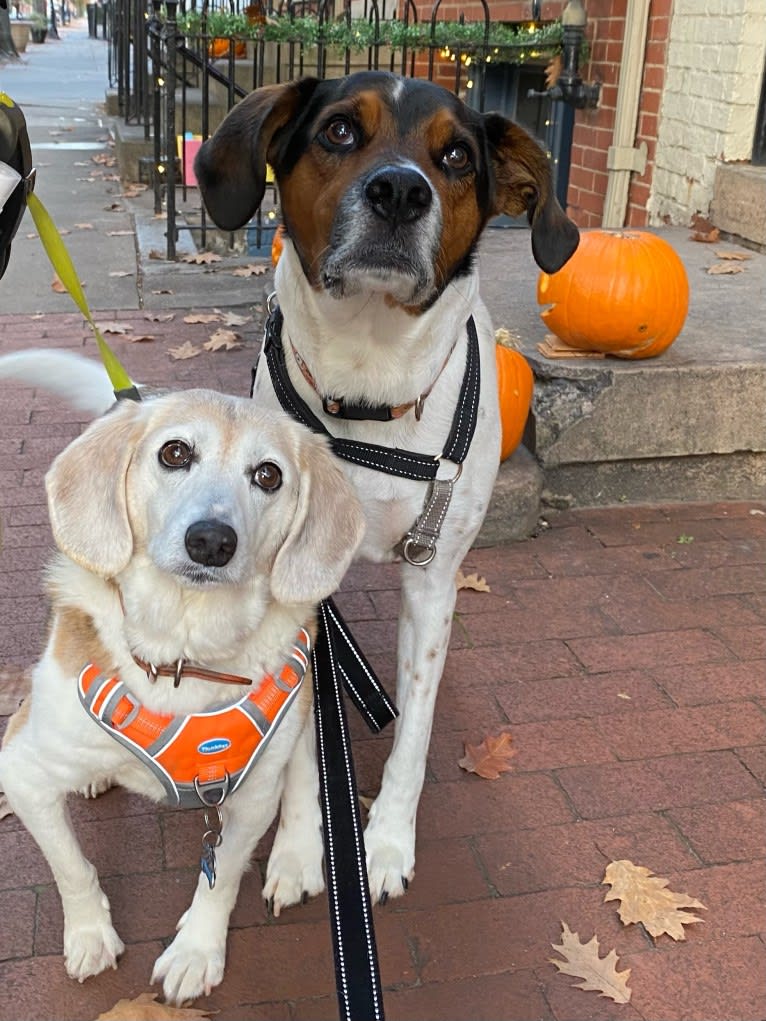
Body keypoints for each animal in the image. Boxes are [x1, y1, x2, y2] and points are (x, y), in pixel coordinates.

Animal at [0, 390, 365, 1004]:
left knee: (302, 768)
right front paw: (90, 934)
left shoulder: (248, 800)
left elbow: (219, 882)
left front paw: (196, 953)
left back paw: (295, 857)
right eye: (174, 452)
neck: (182, 655)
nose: (212, 541)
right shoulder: (21, 770)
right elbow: (70, 866)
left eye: (268, 475)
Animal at [195, 69, 580, 902]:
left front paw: (386, 844)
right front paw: (301, 847)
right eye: (340, 131)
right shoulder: (300, 593)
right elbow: (307, 737)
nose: (401, 191)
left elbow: (417, 730)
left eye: (457, 155)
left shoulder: (432, 579)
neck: (369, 386)